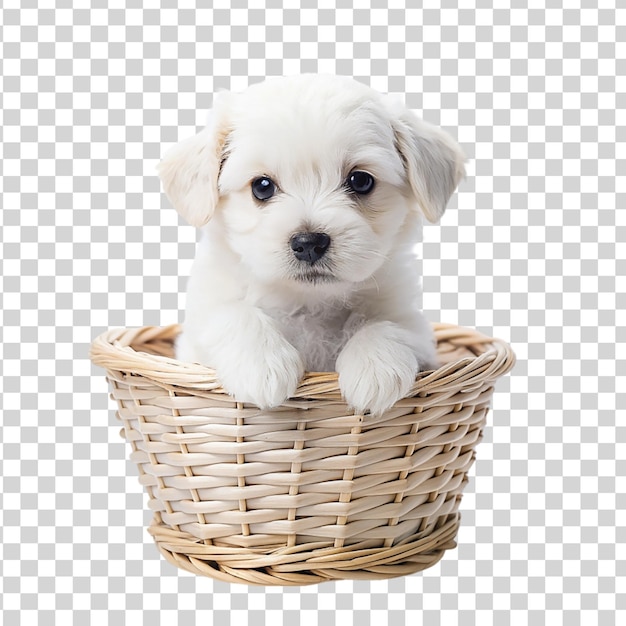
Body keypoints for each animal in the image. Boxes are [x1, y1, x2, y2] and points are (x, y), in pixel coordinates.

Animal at [158, 74, 466, 414]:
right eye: (262, 186)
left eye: (361, 181)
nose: (309, 242)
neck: (309, 302)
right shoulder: (201, 325)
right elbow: (232, 313)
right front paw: (263, 366)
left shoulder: (414, 325)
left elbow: (388, 325)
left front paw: (375, 368)